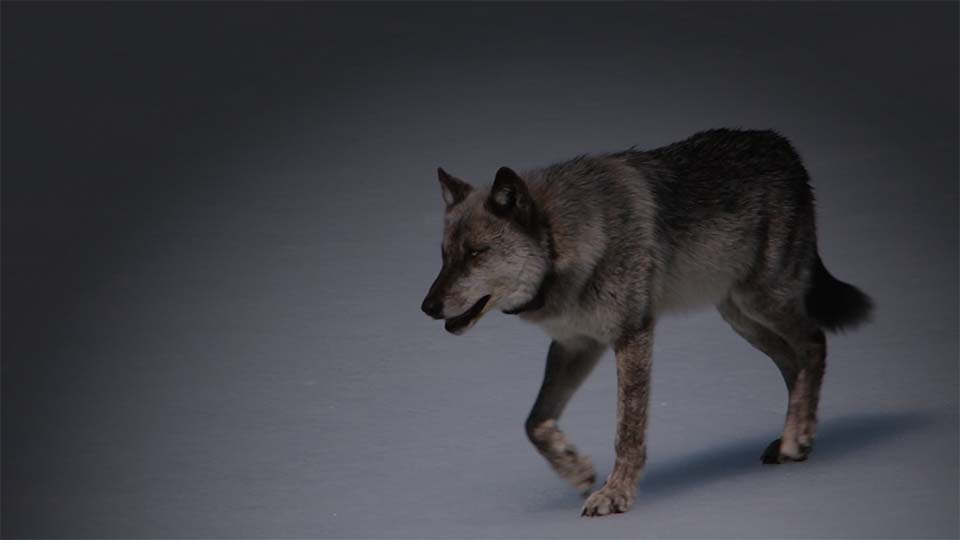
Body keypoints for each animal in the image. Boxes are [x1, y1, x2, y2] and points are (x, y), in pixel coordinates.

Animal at [418, 129, 872, 516]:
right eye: (445, 255)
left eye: (475, 253)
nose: (426, 306)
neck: (565, 240)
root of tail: (786, 149)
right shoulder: (576, 345)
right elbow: (534, 423)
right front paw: (576, 469)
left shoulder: (631, 335)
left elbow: (627, 432)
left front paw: (615, 495)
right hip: (741, 318)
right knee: (794, 363)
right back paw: (797, 439)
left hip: (762, 302)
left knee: (815, 342)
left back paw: (798, 436)